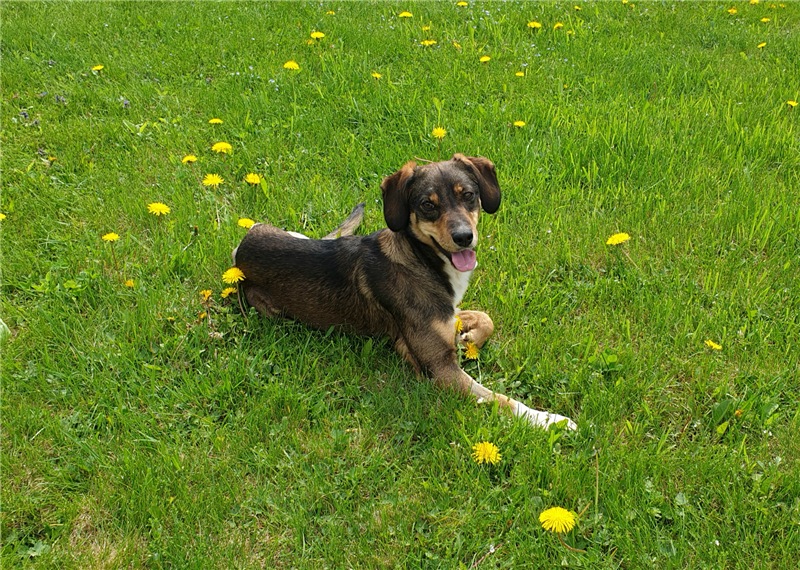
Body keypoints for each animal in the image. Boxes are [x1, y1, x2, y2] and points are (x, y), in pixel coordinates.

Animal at [232, 154, 576, 430]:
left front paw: (469, 337)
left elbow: (485, 317)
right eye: (427, 205)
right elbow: (501, 399)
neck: (421, 257)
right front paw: (548, 420)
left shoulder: (448, 312)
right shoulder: (439, 369)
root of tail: (240, 250)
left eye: (469, 196)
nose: (464, 237)